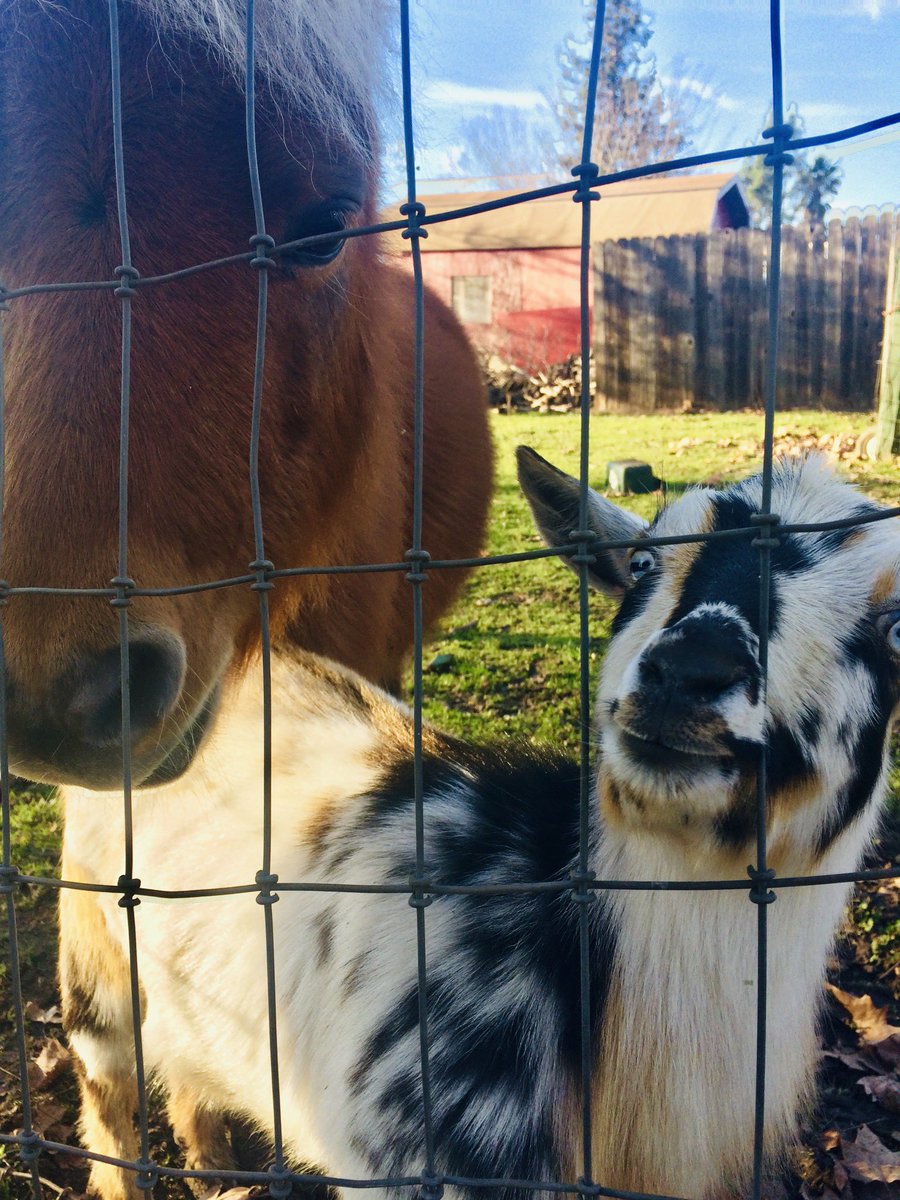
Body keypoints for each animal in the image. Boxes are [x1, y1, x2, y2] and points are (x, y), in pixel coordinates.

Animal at [60, 449, 899, 1200]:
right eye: (640, 567)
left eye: (892, 627)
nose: (689, 672)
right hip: (95, 949)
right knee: (106, 1091)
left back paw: (209, 1167)